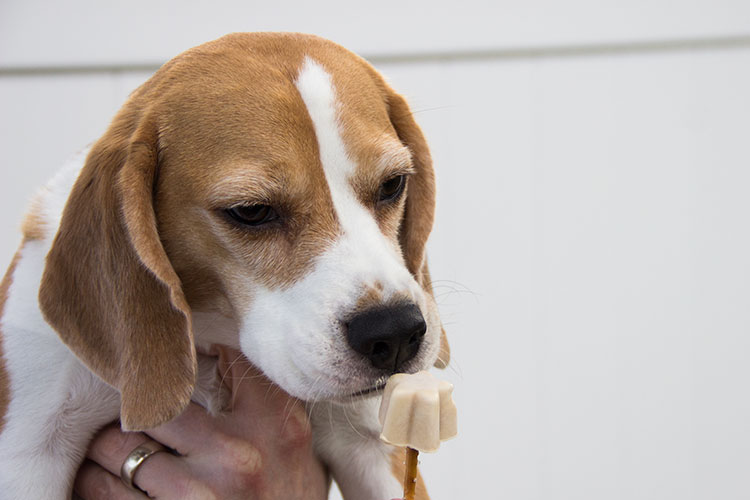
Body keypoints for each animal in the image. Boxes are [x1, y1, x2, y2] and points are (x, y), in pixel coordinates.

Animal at [0, 33, 450, 498]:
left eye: (392, 184)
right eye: (252, 211)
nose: (394, 332)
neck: (209, 339)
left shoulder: (371, 446)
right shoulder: (28, 451)